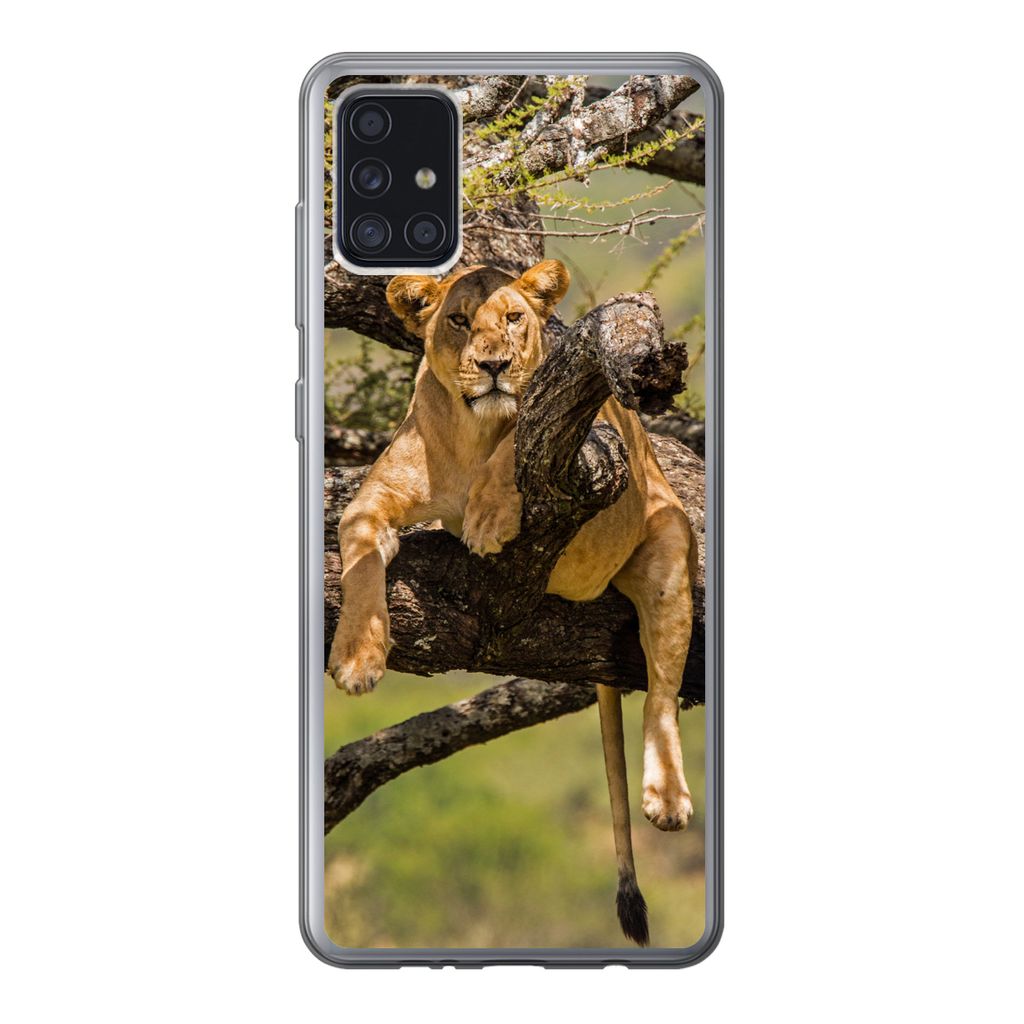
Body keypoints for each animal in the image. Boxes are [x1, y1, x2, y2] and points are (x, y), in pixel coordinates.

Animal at [327, 259, 698, 945]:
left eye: (514, 318)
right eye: (458, 320)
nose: (494, 364)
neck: (472, 433)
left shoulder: (586, 444)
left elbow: (516, 444)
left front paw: (490, 517)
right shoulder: (369, 505)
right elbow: (362, 567)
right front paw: (359, 659)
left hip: (664, 542)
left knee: (661, 692)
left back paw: (666, 796)